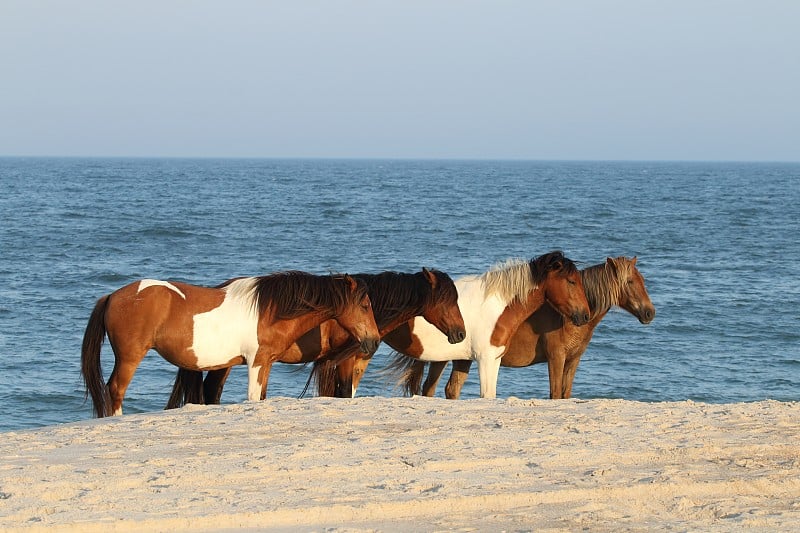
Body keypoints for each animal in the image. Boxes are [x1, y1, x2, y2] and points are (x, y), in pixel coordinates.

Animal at [81, 270, 382, 416]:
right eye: (365, 305)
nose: (374, 341)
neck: (271, 308)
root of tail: (112, 296)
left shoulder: (266, 364)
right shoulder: (256, 363)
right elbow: (253, 398)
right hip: (130, 357)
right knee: (116, 389)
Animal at [410, 255, 652, 400]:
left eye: (642, 280)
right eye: (630, 282)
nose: (650, 312)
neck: (563, 318)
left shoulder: (573, 360)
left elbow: (565, 394)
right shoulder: (556, 358)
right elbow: (555, 394)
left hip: (461, 358)